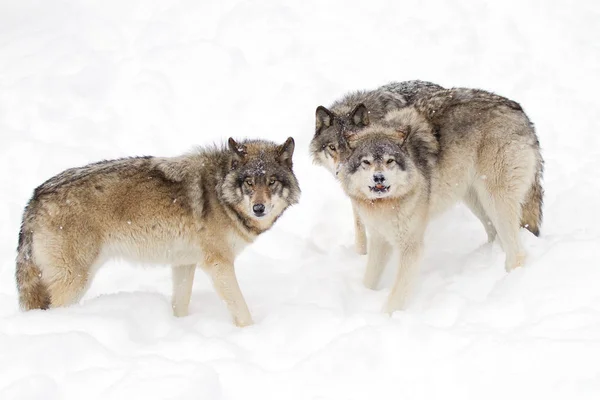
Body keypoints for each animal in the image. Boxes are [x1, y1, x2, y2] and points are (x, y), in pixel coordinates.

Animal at [15, 137, 300, 324]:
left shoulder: (184, 263)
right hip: (75, 281)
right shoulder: (218, 264)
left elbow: (180, 304)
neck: (221, 194)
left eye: (271, 182)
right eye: (249, 182)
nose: (259, 208)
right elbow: (242, 311)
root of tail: (34, 197)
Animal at [338, 89, 544, 314]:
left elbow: (397, 295)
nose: (379, 178)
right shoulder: (379, 238)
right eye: (365, 162)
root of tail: (520, 111)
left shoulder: (411, 246)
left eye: (389, 161)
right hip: (475, 199)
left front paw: (386, 316)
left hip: (496, 199)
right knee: (495, 234)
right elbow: (369, 279)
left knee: (517, 252)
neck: (386, 204)